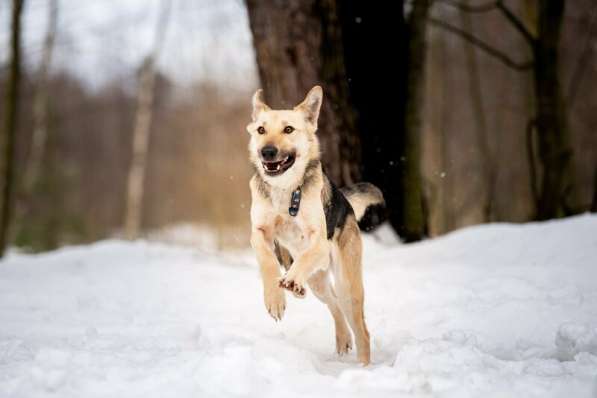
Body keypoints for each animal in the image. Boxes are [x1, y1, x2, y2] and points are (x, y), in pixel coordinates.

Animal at [246, 85, 382, 366]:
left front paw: (290, 281)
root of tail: (347, 205)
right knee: (333, 304)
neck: (285, 190)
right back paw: (339, 334)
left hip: (348, 286)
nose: (267, 152)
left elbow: (303, 259)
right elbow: (267, 261)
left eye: (288, 129)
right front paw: (275, 298)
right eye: (261, 130)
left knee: (361, 329)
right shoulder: (259, 233)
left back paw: (363, 369)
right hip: (319, 284)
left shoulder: (318, 241)